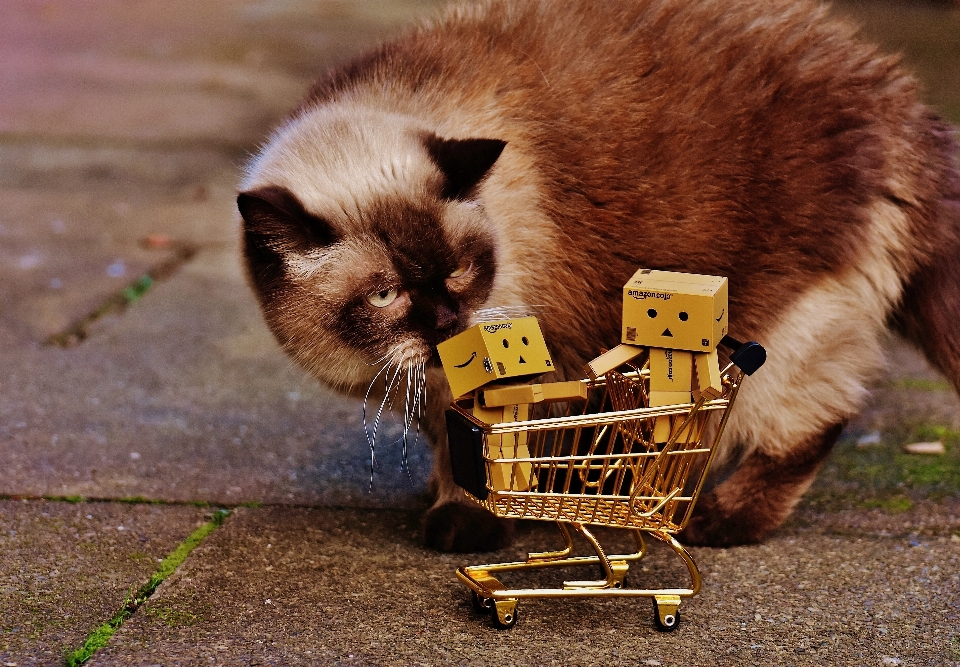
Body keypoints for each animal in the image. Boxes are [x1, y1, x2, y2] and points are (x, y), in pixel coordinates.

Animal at [234, 0, 960, 552]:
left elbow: (490, 456)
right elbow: (457, 445)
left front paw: (471, 523)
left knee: (812, 420)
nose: (445, 324)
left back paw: (717, 519)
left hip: (778, 321)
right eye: (385, 294)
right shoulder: (436, 385)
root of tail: (895, 96)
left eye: (462, 270)